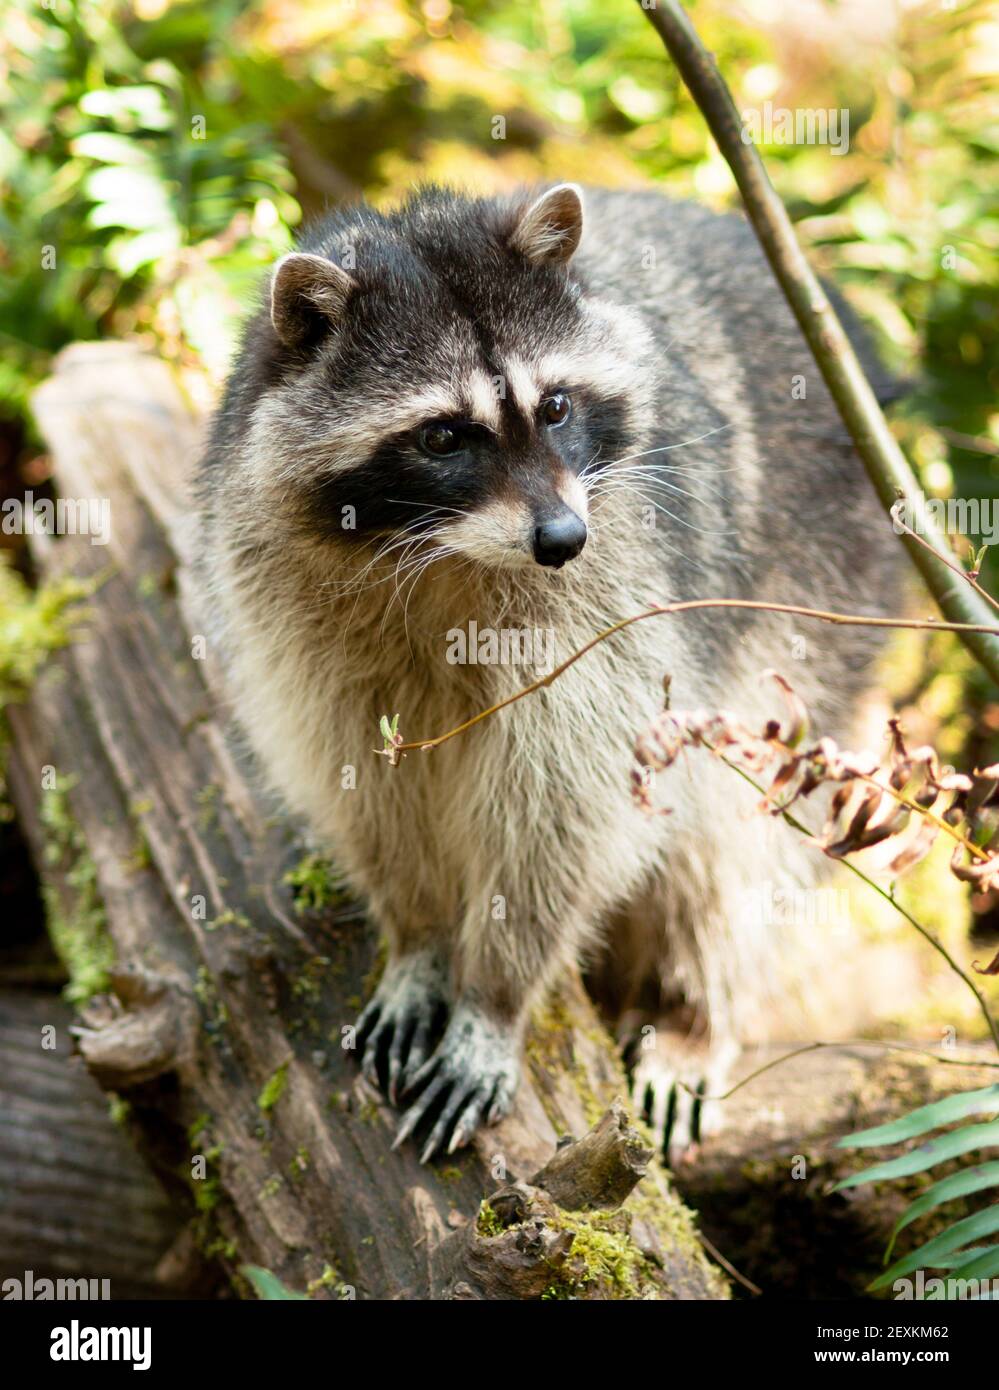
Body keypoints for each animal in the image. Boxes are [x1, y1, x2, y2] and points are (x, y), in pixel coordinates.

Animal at [198, 184, 898, 1163]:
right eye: (442, 437)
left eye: (557, 405)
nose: (563, 539)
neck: (438, 551)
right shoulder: (292, 611)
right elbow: (366, 783)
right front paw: (417, 937)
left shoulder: (617, 601)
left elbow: (562, 811)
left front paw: (495, 998)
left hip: (818, 590)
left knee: (732, 838)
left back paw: (692, 1013)